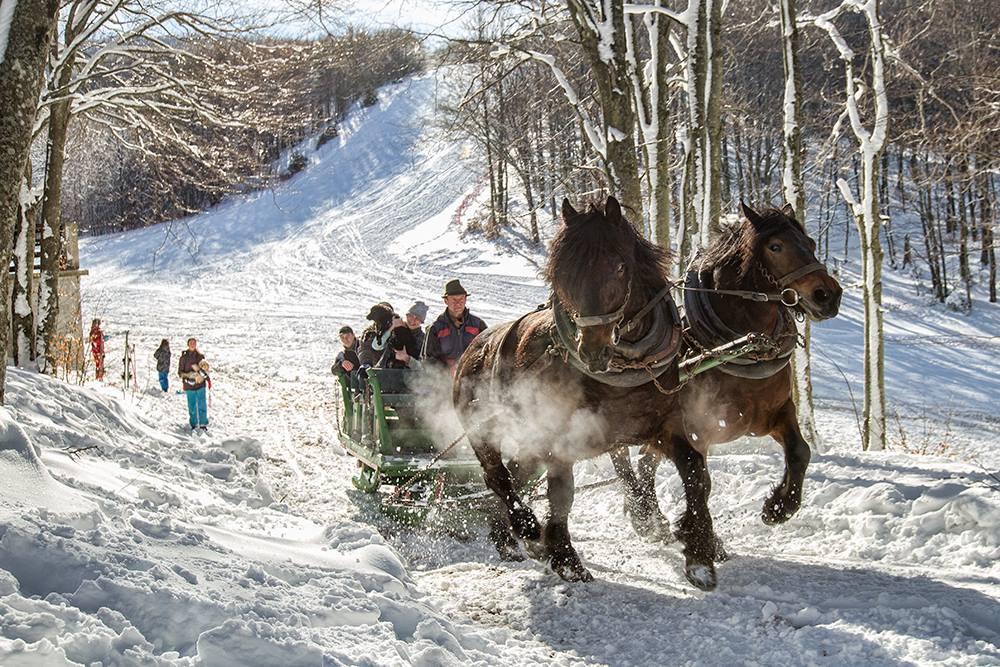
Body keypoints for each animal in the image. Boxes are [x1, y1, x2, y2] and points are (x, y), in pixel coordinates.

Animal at [456, 197, 684, 584]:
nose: (592, 350)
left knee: (516, 474)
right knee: (498, 477)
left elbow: (649, 465)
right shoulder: (560, 436)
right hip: (484, 429)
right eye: (562, 273)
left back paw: (506, 537)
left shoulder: (649, 424)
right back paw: (525, 526)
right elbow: (563, 494)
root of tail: (474, 347)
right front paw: (564, 556)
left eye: (620, 267)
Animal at [608, 202, 844, 588]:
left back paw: (654, 519)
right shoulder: (692, 429)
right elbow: (700, 482)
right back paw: (644, 515)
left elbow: (800, 452)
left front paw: (777, 508)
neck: (736, 347)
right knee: (625, 462)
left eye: (810, 242)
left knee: (643, 463)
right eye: (776, 246)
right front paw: (698, 546)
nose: (828, 296)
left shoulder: (778, 412)